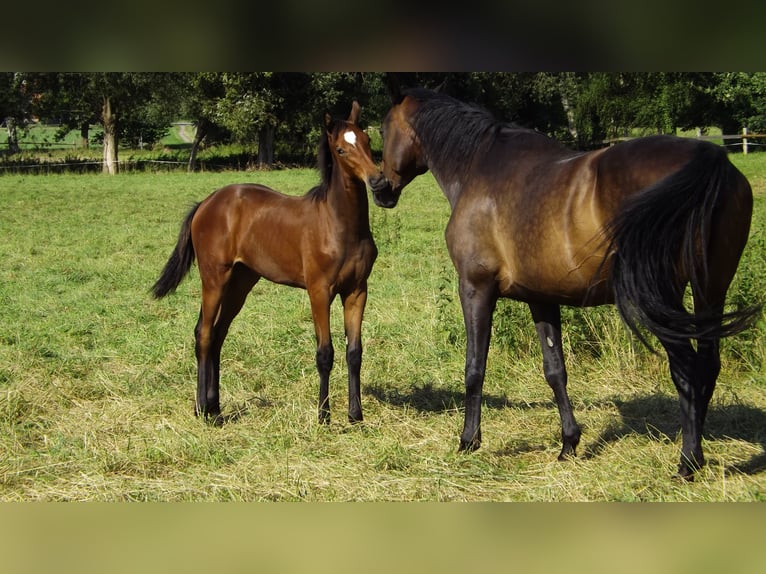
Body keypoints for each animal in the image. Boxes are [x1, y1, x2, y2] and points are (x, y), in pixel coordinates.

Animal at [152, 102, 390, 428]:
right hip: (214, 279)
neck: (339, 226)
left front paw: (356, 416)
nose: (379, 181)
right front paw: (323, 416)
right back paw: (203, 411)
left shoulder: (356, 291)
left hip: (240, 283)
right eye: (341, 149)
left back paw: (215, 407)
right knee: (204, 333)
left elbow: (354, 352)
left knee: (218, 334)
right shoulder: (319, 292)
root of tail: (206, 203)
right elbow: (325, 353)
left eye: (367, 140)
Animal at [374, 85, 760, 482]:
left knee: (687, 369)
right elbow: (555, 370)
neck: (478, 167)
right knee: (708, 365)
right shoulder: (542, 298)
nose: (379, 186)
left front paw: (468, 440)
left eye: (383, 130)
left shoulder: (475, 288)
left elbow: (474, 368)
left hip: (662, 302)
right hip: (710, 291)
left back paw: (687, 462)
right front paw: (569, 444)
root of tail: (706, 158)